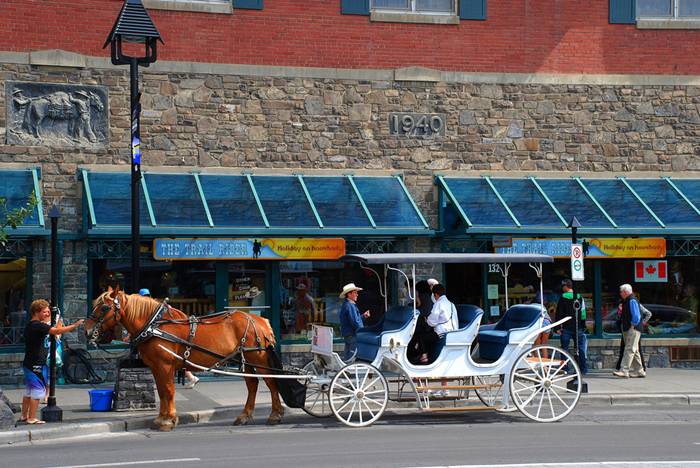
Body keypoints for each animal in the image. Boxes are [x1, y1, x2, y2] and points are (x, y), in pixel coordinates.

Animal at [85, 288, 284, 434]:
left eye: (104, 308)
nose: (86, 331)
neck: (155, 326)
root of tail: (261, 320)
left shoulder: (165, 365)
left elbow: (168, 391)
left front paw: (168, 420)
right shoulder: (156, 367)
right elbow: (162, 392)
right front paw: (161, 418)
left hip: (258, 358)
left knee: (271, 382)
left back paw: (275, 415)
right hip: (246, 360)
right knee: (252, 385)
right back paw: (244, 416)